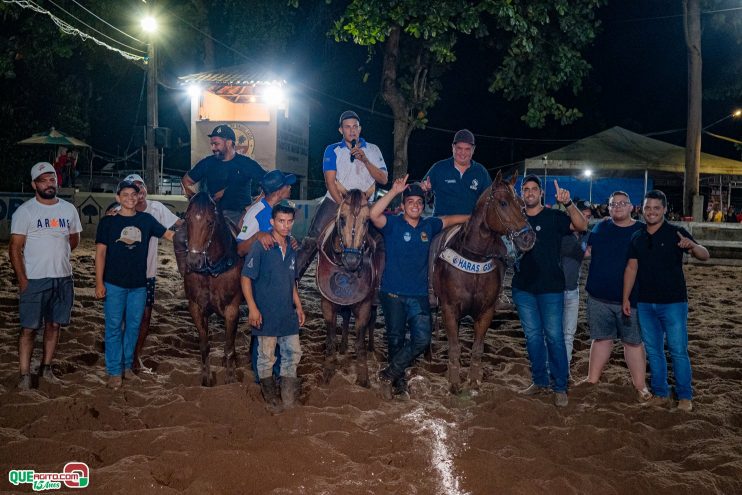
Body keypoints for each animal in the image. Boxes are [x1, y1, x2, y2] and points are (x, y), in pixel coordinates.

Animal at [182, 192, 243, 386]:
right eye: (187, 219)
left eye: (210, 222)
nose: (193, 262)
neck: (212, 271)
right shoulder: (195, 307)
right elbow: (204, 345)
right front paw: (206, 378)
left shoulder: (232, 309)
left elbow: (229, 345)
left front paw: (230, 379)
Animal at [316, 190, 384, 388]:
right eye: (342, 218)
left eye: (367, 220)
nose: (352, 260)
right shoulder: (327, 304)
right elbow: (331, 336)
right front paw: (327, 370)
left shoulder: (364, 306)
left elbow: (360, 342)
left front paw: (363, 378)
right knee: (345, 317)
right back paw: (343, 346)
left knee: (371, 321)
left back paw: (371, 347)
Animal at [434, 172, 536, 394]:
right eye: (503, 203)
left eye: (522, 204)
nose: (528, 237)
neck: (474, 259)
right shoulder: (449, 309)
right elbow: (454, 347)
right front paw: (454, 382)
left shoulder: (486, 311)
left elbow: (477, 348)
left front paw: (474, 380)